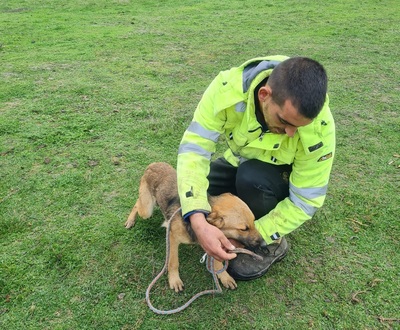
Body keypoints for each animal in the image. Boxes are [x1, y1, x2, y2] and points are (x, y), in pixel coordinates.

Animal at [125, 162, 262, 292]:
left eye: (254, 222)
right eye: (244, 229)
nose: (263, 244)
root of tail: (154, 164)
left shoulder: (213, 242)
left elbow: (218, 263)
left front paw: (224, 276)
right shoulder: (172, 238)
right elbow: (173, 262)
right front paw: (174, 280)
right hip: (146, 210)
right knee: (137, 204)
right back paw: (130, 220)